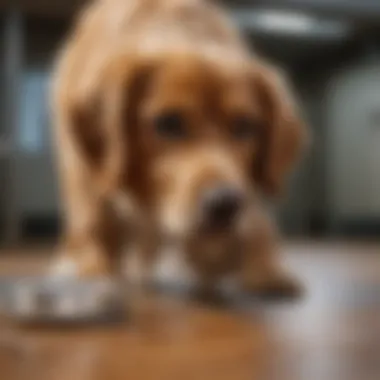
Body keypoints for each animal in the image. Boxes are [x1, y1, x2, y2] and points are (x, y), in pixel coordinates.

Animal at [49, 0, 308, 298]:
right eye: (168, 123)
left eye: (245, 126)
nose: (225, 205)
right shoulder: (91, 175)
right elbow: (97, 225)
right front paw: (95, 272)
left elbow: (255, 222)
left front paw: (261, 268)